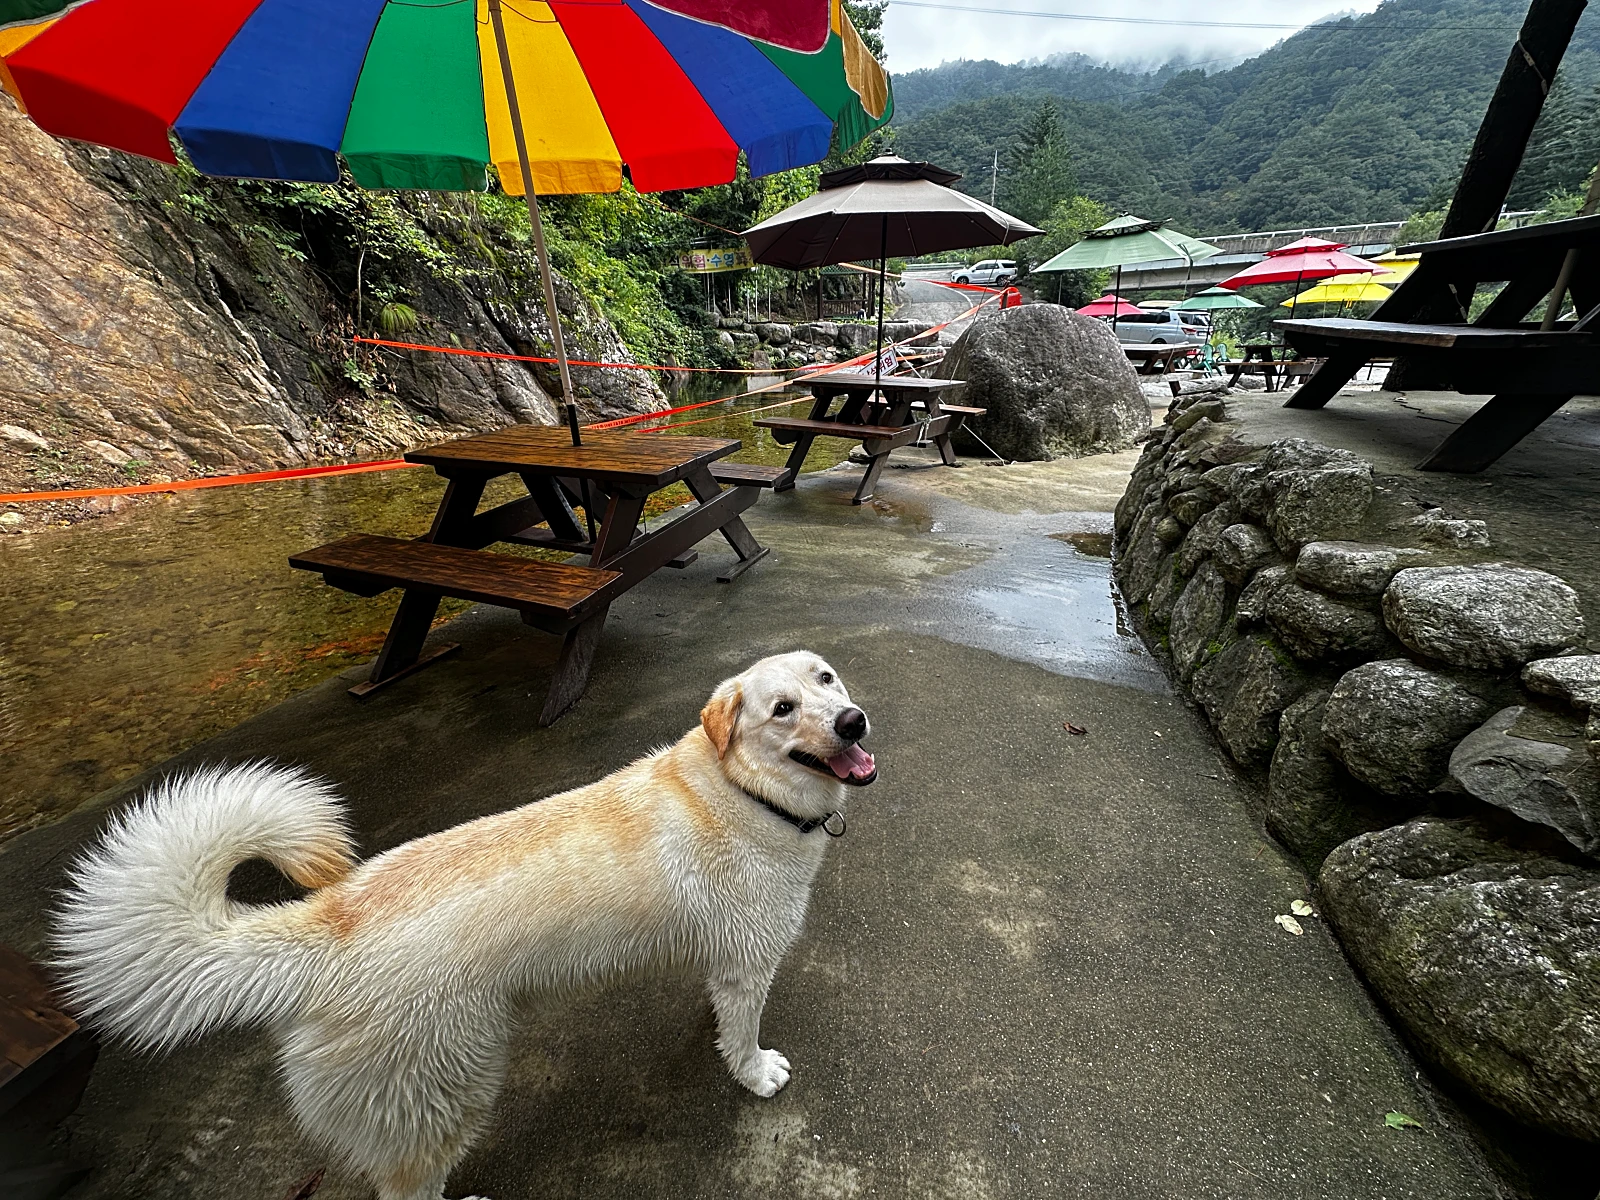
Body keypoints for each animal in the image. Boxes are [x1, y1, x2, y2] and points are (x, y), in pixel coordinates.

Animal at [53, 652, 876, 1200]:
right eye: (781, 708)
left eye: (826, 679)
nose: (853, 720)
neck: (743, 790)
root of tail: (332, 920)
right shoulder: (750, 965)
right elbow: (743, 1038)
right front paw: (755, 1073)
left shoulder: (726, 964)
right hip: (445, 1097)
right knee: (408, 1191)